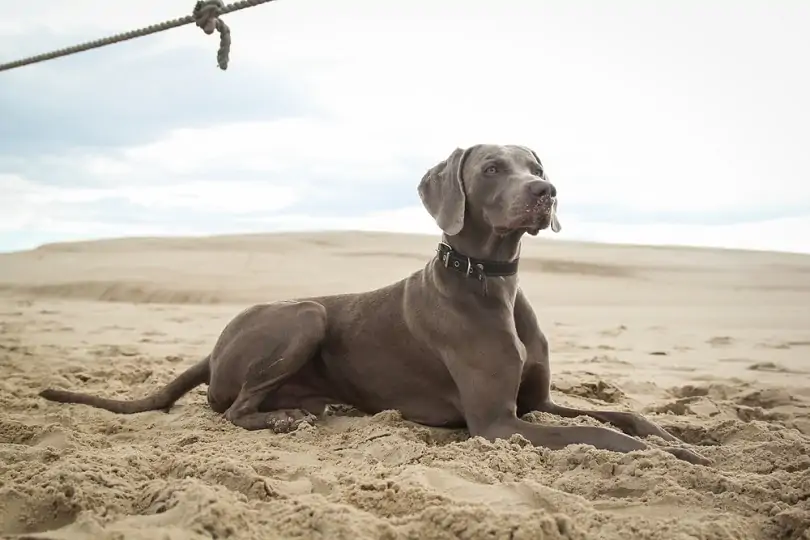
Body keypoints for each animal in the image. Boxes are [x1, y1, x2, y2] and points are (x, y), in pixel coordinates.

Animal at [39, 146, 708, 466]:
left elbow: (625, 417)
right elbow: (599, 437)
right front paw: (666, 454)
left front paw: (683, 440)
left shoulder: (534, 403)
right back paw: (280, 420)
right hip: (305, 314)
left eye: (536, 165)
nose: (547, 191)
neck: (489, 280)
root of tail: (212, 350)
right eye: (494, 167)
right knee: (231, 410)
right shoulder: (498, 424)